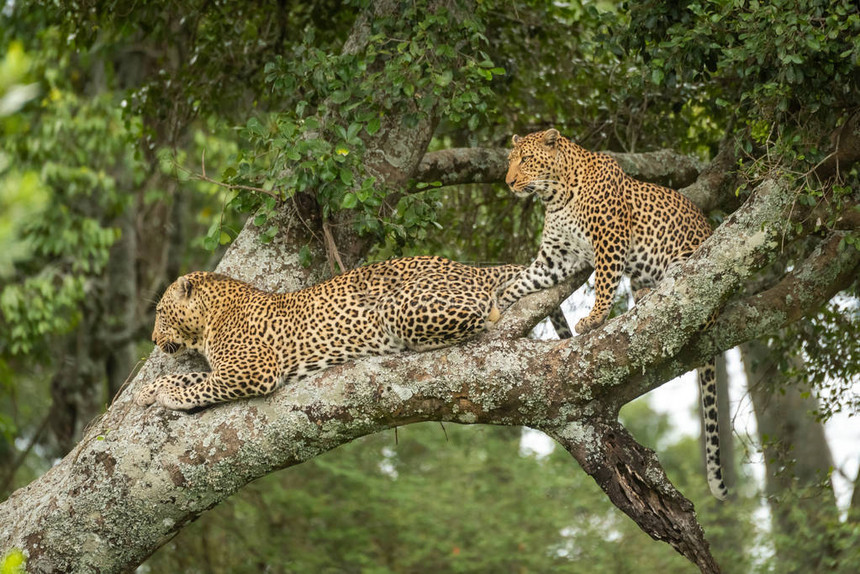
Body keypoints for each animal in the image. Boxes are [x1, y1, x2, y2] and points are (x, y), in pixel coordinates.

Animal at [134, 258, 572, 414]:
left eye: (161, 313)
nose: (153, 340)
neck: (210, 318)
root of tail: (473, 267)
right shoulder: (227, 366)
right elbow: (192, 375)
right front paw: (146, 390)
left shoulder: (253, 368)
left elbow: (200, 385)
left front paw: (168, 396)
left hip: (398, 307)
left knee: (486, 316)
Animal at [500, 128, 728, 502]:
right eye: (509, 161)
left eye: (526, 160)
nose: (509, 182)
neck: (556, 195)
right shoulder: (556, 259)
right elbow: (520, 282)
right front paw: (495, 306)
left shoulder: (609, 237)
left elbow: (605, 281)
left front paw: (594, 319)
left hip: (694, 268)